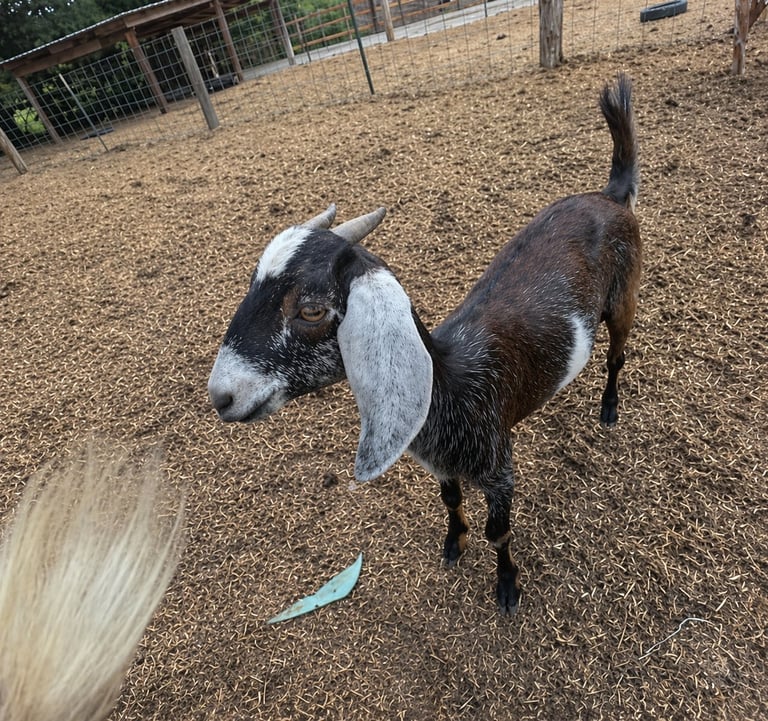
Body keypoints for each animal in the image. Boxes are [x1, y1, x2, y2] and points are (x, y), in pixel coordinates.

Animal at [208, 74, 641, 614]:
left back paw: (609, 408)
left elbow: (500, 533)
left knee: (617, 354)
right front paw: (454, 543)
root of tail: (612, 196)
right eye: (251, 285)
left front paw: (507, 587)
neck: (451, 383)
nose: (221, 396)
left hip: (624, 298)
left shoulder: (499, 465)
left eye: (310, 310)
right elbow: (450, 501)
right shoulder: (440, 466)